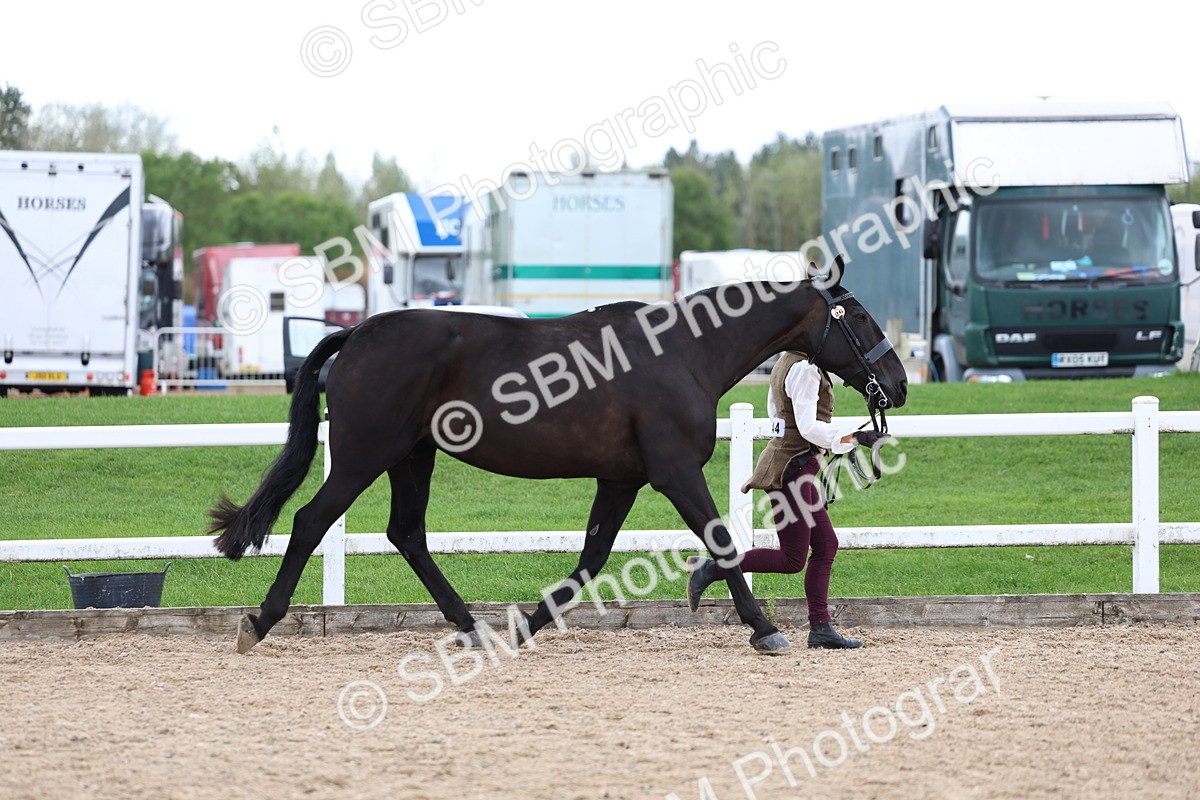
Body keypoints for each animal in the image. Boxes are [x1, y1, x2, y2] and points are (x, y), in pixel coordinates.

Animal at [209, 258, 908, 654]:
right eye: (859, 316)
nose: (898, 385)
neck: (681, 353)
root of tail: (357, 331)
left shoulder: (622, 479)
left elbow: (591, 559)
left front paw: (525, 627)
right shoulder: (674, 473)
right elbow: (721, 541)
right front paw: (763, 628)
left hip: (412, 457)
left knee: (406, 533)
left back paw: (473, 628)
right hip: (365, 457)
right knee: (311, 522)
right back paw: (260, 622)